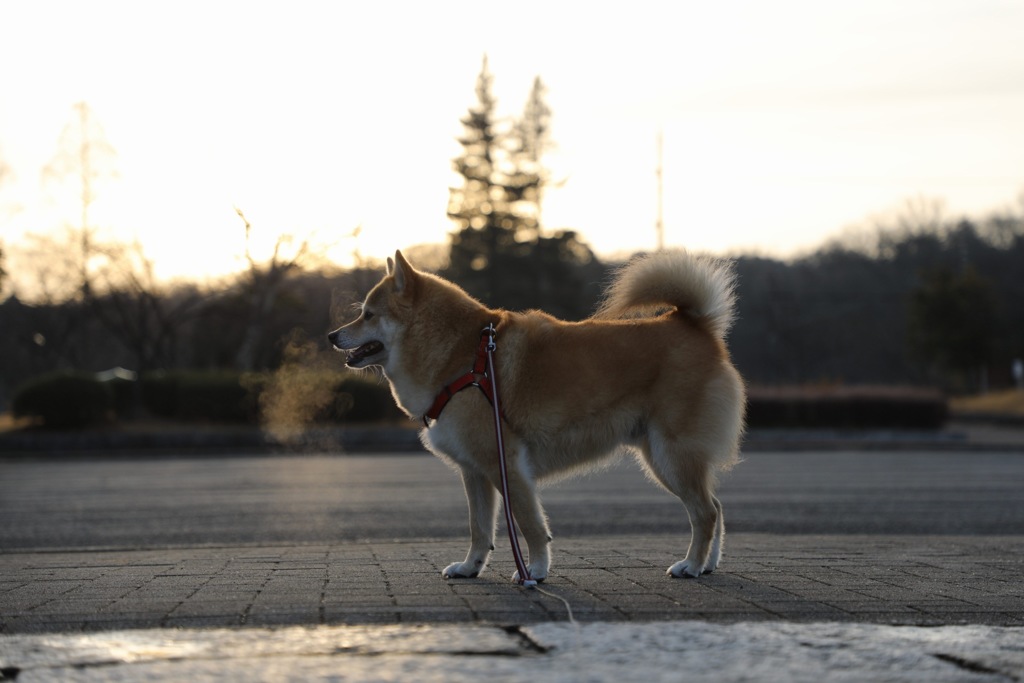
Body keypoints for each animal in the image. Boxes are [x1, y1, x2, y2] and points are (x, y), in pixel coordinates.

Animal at [327, 250, 745, 581]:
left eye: (368, 315)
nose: (332, 335)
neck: (462, 356)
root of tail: (694, 325)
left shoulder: (506, 464)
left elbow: (529, 525)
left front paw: (536, 571)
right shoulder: (474, 471)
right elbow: (479, 529)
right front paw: (470, 568)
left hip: (670, 455)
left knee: (705, 513)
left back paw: (692, 565)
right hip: (667, 458)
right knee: (718, 508)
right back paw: (708, 564)